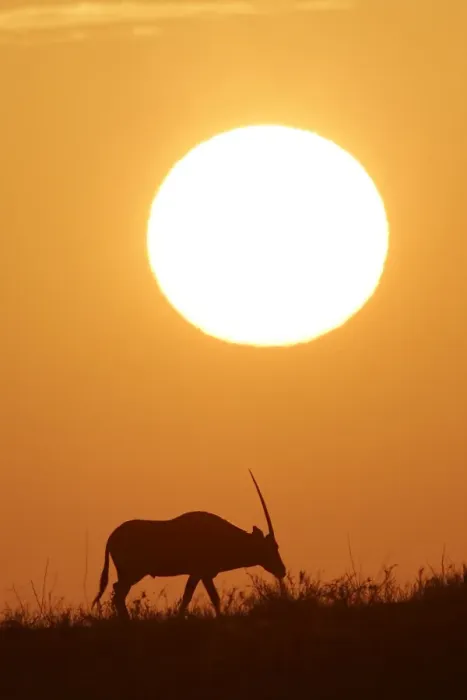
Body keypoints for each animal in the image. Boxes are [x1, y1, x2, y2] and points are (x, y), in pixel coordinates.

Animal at [92, 470, 286, 618]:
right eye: (272, 547)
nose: (282, 571)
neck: (223, 536)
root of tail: (112, 537)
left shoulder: (204, 575)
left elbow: (208, 597)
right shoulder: (198, 572)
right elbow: (192, 597)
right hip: (133, 573)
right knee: (118, 592)